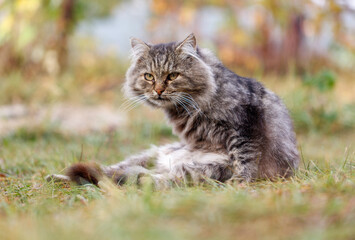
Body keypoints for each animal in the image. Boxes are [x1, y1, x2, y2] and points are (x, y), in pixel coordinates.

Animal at [46, 32, 300, 188]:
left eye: (172, 76)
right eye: (149, 77)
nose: (158, 90)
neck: (189, 107)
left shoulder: (245, 125)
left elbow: (244, 158)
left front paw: (240, 182)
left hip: (200, 169)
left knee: (132, 178)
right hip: (151, 156)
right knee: (106, 172)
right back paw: (56, 177)